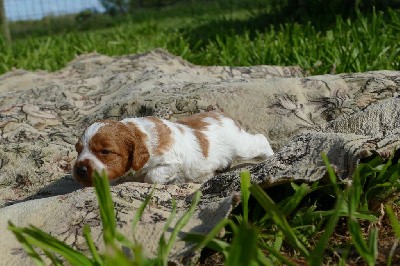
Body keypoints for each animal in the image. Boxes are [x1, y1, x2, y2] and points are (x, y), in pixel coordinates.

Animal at [72, 111, 274, 186]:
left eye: (105, 151)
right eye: (78, 149)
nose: (80, 170)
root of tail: (222, 115)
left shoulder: (171, 162)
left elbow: (152, 176)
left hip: (242, 146)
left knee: (260, 140)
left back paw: (271, 156)